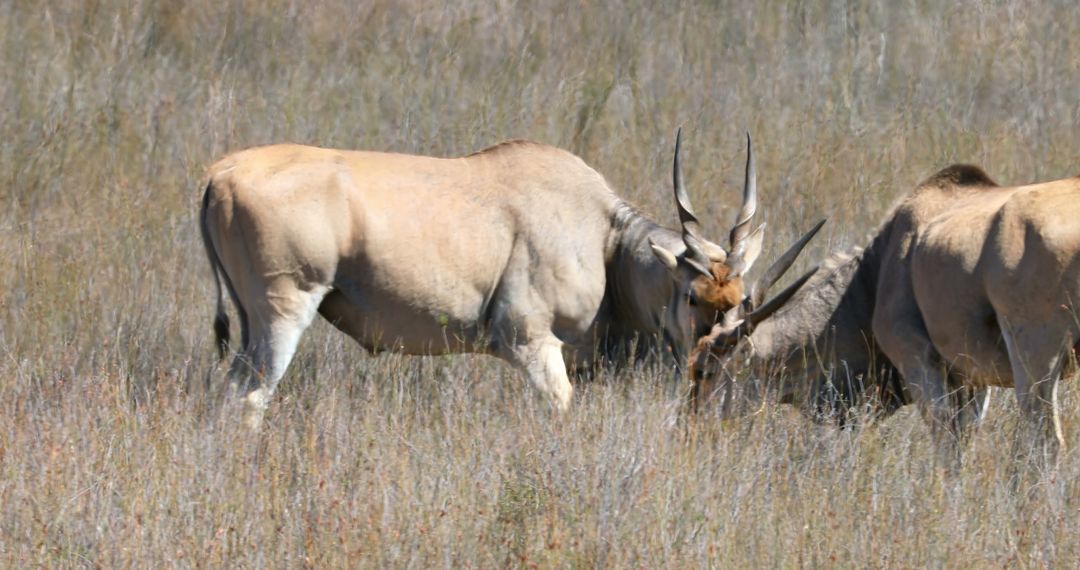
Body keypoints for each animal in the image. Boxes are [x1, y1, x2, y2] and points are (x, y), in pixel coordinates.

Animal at [200, 132, 768, 427]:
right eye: (692, 295)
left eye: (743, 299)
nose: (712, 361)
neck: (606, 238)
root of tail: (221, 173)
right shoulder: (530, 343)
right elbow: (560, 407)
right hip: (283, 314)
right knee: (248, 397)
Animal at [691, 165, 1080, 457]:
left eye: (704, 371)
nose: (693, 431)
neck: (872, 276)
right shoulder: (971, 381)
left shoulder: (918, 361)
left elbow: (948, 446)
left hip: (1034, 362)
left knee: (1047, 442)